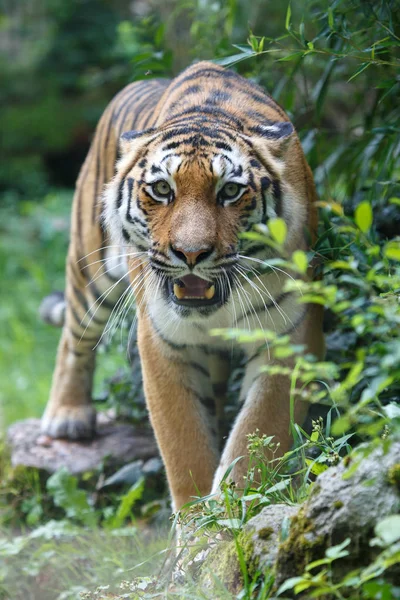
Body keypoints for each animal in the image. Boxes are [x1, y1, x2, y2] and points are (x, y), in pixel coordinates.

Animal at [40, 61, 324, 510]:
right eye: (161, 189)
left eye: (230, 191)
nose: (191, 253)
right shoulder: (164, 340)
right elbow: (184, 446)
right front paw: (197, 520)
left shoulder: (288, 335)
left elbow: (258, 434)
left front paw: (232, 510)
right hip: (90, 270)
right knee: (75, 336)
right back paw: (67, 416)